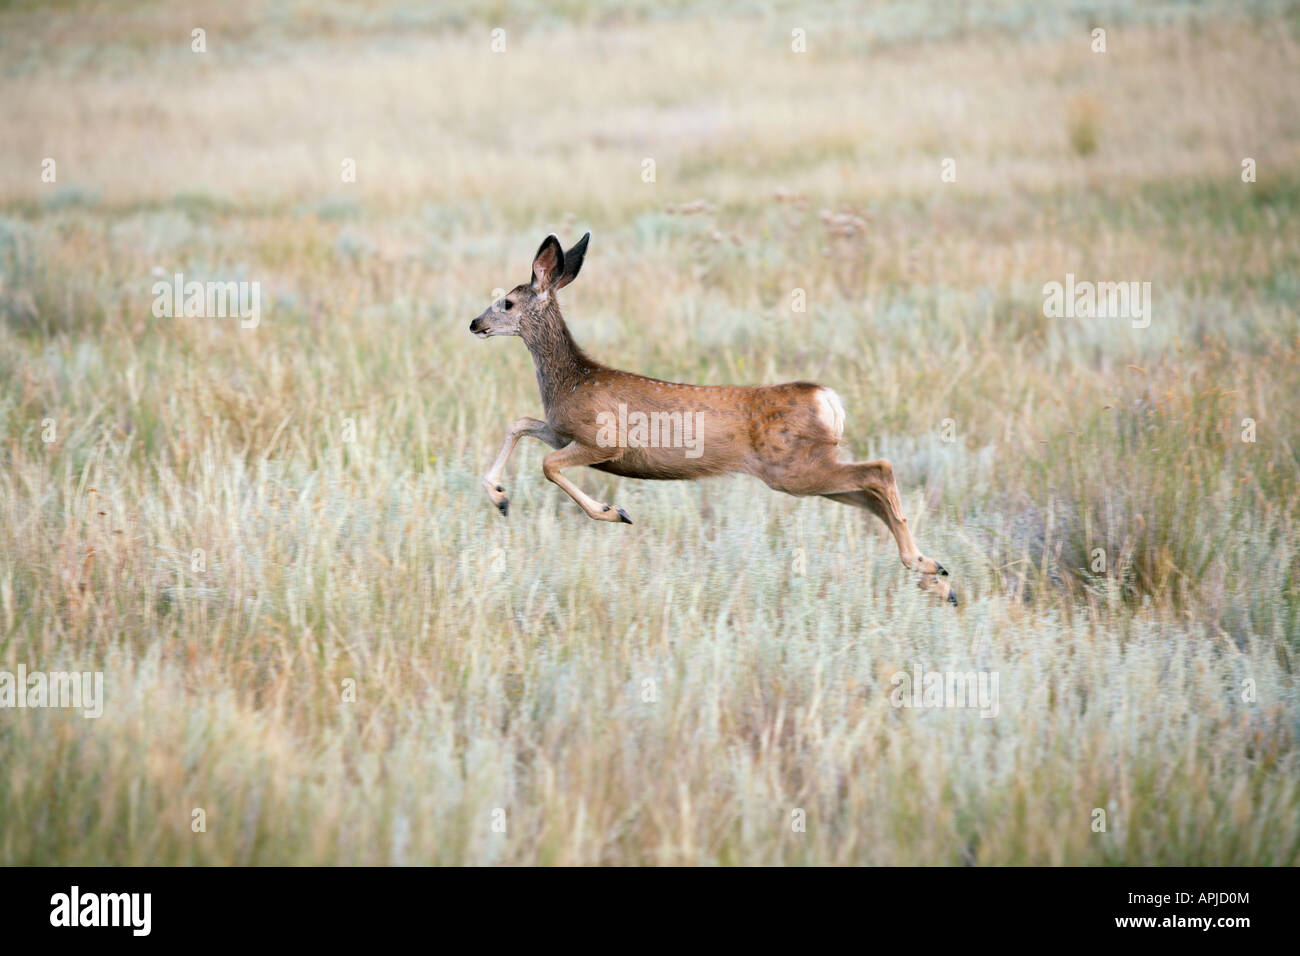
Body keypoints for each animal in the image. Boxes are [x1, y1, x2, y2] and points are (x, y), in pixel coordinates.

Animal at [469, 233, 956, 605]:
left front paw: (614, 511)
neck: (571, 380)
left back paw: (928, 569)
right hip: (803, 471)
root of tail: (827, 399)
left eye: (507, 302)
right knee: (870, 495)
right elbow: (521, 423)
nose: (475, 323)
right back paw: (937, 578)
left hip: (795, 468)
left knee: (880, 470)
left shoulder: (604, 440)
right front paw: (499, 496)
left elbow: (547, 465)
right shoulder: (560, 431)